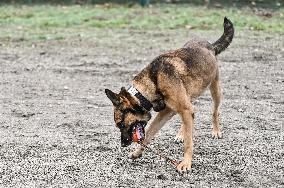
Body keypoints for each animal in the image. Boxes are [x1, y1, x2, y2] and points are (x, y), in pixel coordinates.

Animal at [105, 16, 234, 173]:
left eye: (121, 124)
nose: (123, 144)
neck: (154, 80)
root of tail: (210, 45)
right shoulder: (167, 112)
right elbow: (150, 133)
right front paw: (137, 152)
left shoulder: (181, 109)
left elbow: (189, 143)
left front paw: (186, 163)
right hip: (188, 99)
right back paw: (181, 134)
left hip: (215, 90)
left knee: (215, 111)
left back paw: (215, 131)